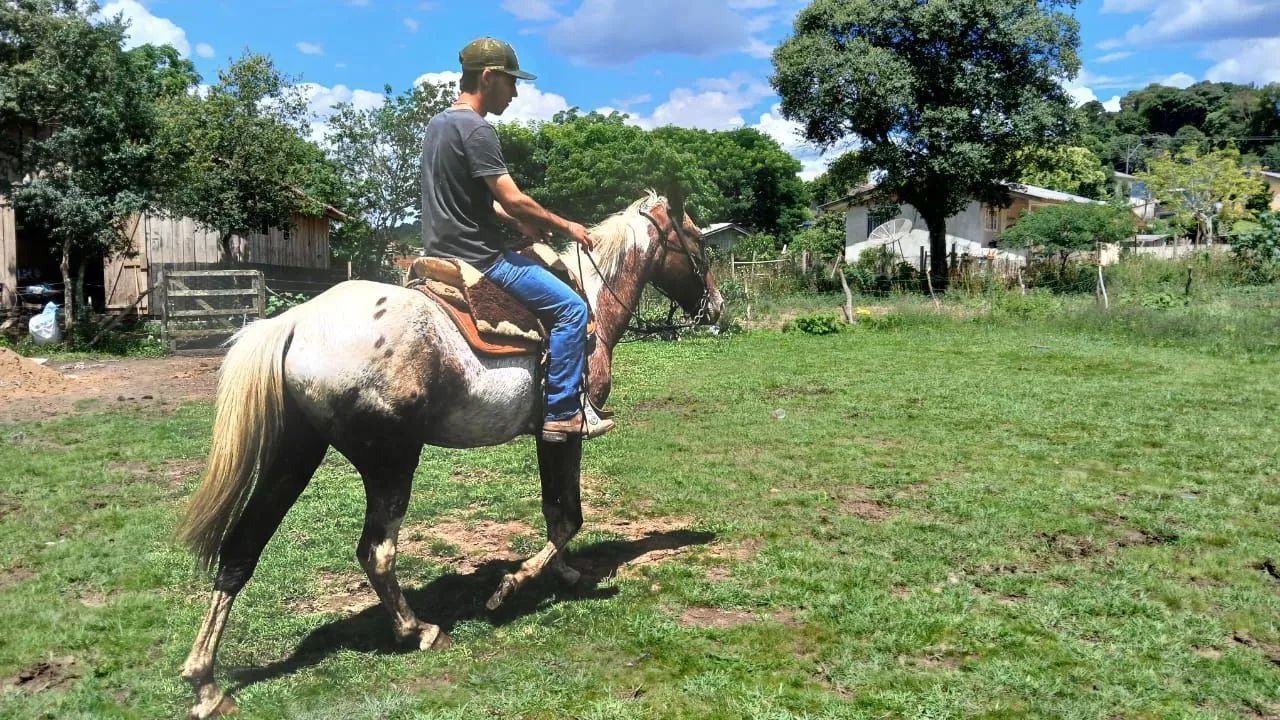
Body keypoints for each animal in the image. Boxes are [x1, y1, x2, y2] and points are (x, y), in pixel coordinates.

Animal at [175, 192, 723, 718]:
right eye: (698, 242)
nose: (716, 306)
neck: (591, 302)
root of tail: (293, 324)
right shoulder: (564, 431)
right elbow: (569, 514)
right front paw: (512, 585)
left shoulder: (546, 437)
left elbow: (555, 511)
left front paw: (562, 573)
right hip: (391, 460)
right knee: (376, 551)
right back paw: (419, 630)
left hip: (296, 452)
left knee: (242, 550)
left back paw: (206, 685)